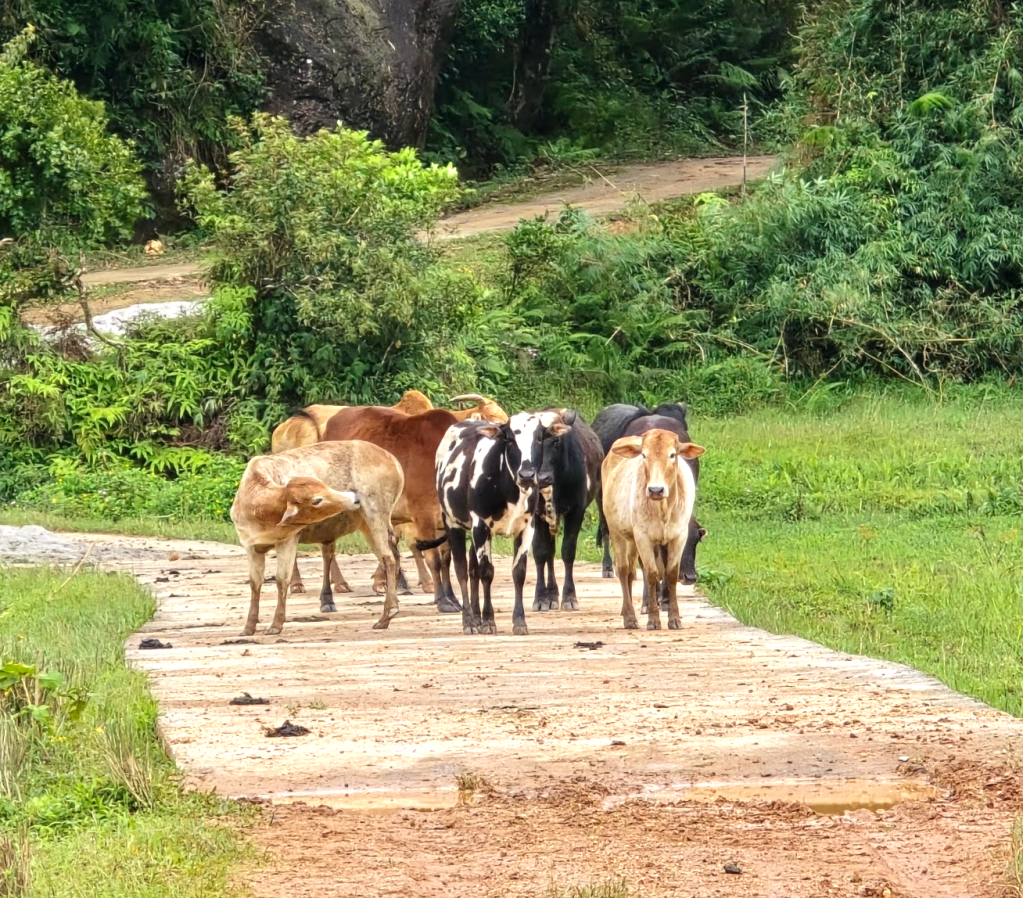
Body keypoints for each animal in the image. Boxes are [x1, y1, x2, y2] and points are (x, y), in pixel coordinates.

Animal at [230, 441, 404, 635]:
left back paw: (387, 615)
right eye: (317, 500)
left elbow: (281, 580)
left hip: (376, 516)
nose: (355, 497)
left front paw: (276, 625)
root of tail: (392, 459)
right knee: (391, 557)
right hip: (368, 525)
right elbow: (255, 583)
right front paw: (249, 627)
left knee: (388, 559)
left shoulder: (287, 542)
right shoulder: (251, 547)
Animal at [321, 407, 463, 614]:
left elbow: (445, 560)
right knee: (327, 552)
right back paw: (328, 596)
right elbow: (434, 560)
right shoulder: (424, 517)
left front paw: (453, 599)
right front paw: (443, 600)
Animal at [435, 412, 549, 636]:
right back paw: (470, 621)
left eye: (539, 438)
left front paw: (519, 621)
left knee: (472, 568)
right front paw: (488, 620)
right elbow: (486, 572)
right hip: (453, 523)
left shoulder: (526, 527)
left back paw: (476, 616)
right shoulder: (481, 525)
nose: (527, 475)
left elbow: (519, 572)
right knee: (462, 570)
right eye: (510, 439)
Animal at [531, 409, 603, 612]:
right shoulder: (536, 515)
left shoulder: (576, 511)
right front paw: (541, 598)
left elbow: (568, 551)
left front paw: (569, 597)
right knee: (549, 553)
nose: (542, 477)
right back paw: (551, 595)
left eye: (557, 441)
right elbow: (540, 552)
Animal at [601, 429, 705, 630]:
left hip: (632, 540)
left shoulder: (678, 537)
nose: (656, 490)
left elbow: (670, 574)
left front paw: (674, 619)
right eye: (644, 455)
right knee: (623, 570)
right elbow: (651, 574)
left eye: (672, 455)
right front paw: (653, 619)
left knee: (631, 572)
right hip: (617, 532)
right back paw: (629, 617)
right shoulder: (643, 537)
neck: (663, 509)